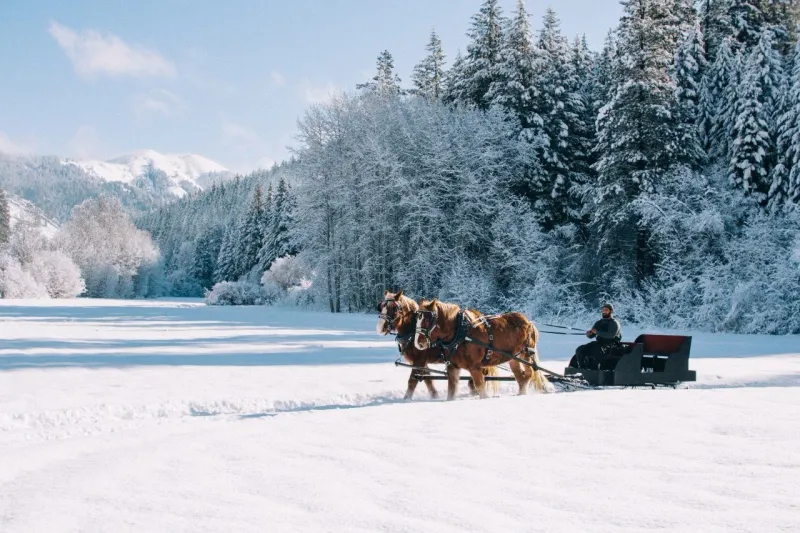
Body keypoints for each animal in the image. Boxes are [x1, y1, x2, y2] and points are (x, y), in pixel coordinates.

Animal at [413, 298, 550, 400]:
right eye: (417, 319)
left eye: (427, 319)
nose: (418, 343)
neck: (460, 332)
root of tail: (529, 323)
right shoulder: (453, 367)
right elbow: (451, 391)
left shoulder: (475, 367)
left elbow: (480, 387)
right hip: (513, 359)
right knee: (521, 377)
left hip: (525, 355)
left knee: (529, 373)